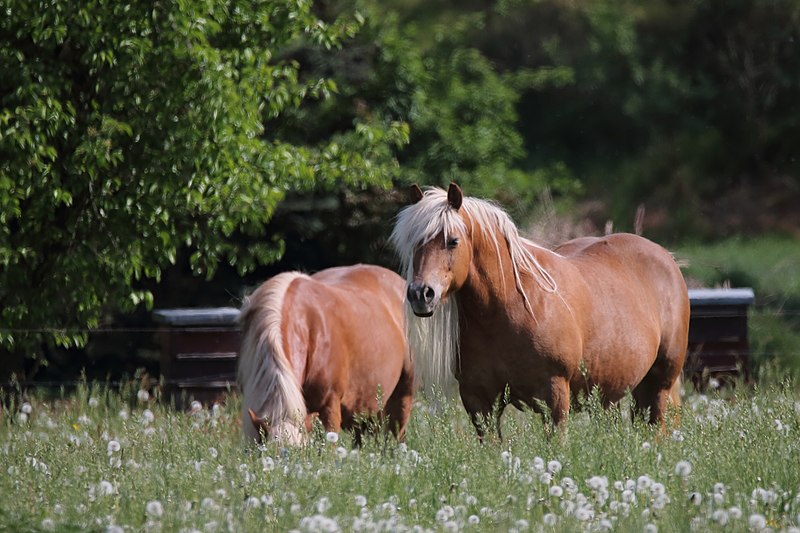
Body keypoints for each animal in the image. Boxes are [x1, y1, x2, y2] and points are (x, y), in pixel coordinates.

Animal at [390, 184, 692, 436]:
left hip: (658, 385)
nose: (420, 294)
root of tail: (666, 257)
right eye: (413, 243)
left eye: (452, 241)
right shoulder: (479, 401)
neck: (508, 311)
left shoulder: (555, 396)